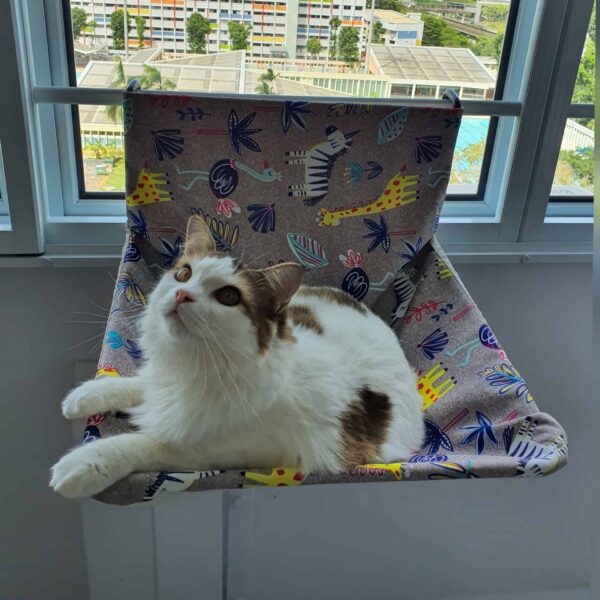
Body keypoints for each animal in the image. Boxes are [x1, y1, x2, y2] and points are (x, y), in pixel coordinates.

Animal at [50, 216, 424, 499]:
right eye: (183, 274)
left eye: (228, 297)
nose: (182, 294)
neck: (199, 365)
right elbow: (138, 382)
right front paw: (85, 395)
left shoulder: (217, 451)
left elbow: (145, 443)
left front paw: (84, 463)